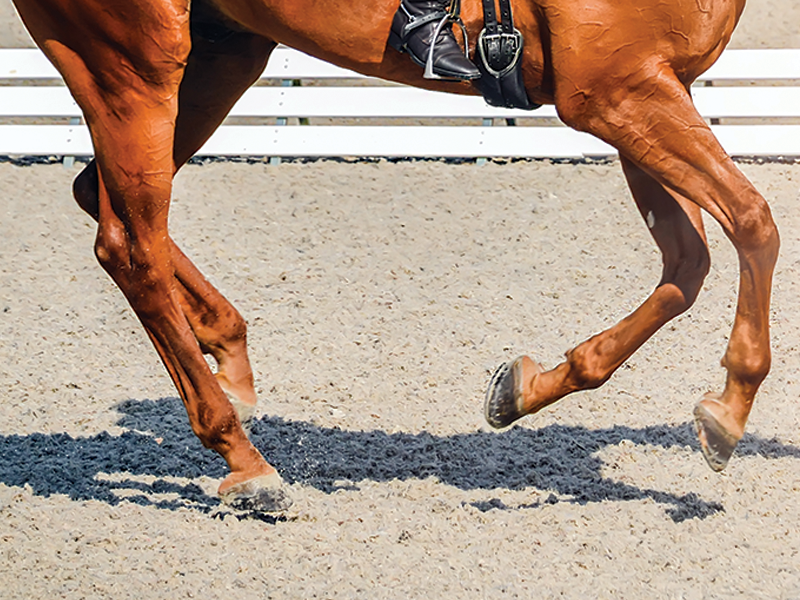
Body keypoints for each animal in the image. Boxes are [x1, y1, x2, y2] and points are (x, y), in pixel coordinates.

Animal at [10, 0, 779, 512]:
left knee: (100, 200)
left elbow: (688, 266)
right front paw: (729, 412)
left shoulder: (644, 91)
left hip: (221, 50)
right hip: (135, 59)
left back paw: (228, 356)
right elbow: (754, 224)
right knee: (129, 245)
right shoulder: (616, 91)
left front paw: (524, 389)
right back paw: (244, 458)